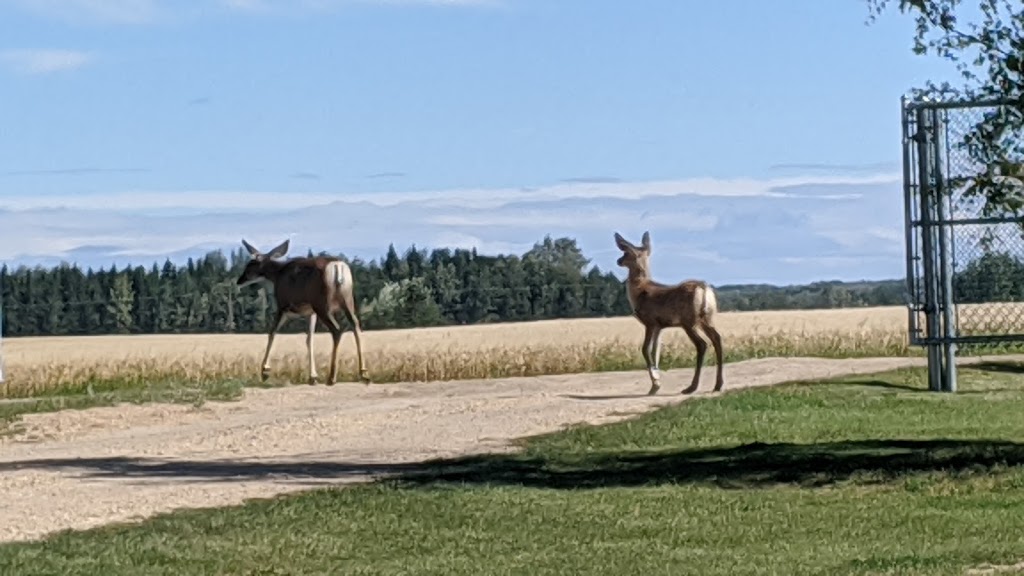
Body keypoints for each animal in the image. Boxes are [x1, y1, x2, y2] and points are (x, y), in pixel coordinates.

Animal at [235, 237, 372, 385]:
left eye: (249, 265)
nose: (239, 281)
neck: (277, 275)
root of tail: (337, 266)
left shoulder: (283, 305)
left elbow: (272, 333)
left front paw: (265, 371)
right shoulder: (310, 312)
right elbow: (309, 339)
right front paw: (313, 376)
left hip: (322, 303)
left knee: (337, 329)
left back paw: (332, 377)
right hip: (347, 299)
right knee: (355, 324)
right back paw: (364, 373)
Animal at [610, 229, 724, 393]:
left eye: (625, 253)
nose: (618, 261)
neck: (639, 290)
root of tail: (702, 288)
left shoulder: (650, 322)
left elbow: (645, 349)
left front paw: (656, 382)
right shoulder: (660, 326)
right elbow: (655, 351)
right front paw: (655, 384)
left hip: (688, 321)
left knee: (702, 344)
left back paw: (691, 387)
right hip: (707, 318)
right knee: (717, 339)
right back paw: (718, 385)